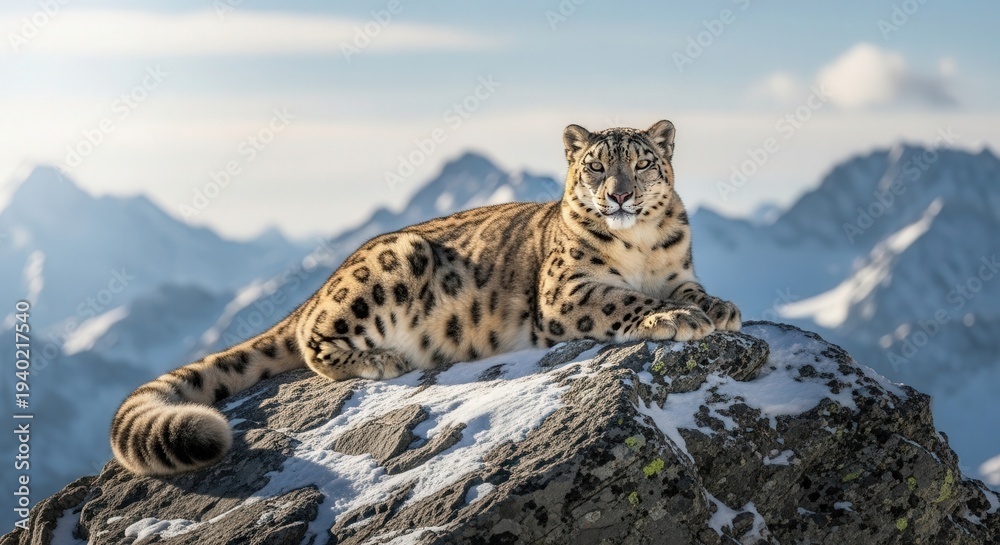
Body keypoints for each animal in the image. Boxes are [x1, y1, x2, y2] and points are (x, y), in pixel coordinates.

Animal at [110, 120, 741, 475]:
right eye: (595, 165)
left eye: (642, 162)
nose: (619, 196)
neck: (641, 249)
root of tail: (325, 280)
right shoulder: (565, 292)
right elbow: (623, 301)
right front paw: (676, 317)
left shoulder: (677, 268)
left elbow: (692, 288)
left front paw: (718, 307)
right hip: (390, 267)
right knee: (312, 339)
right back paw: (381, 358)